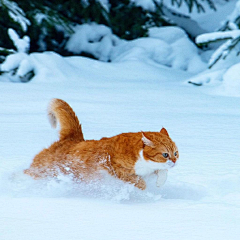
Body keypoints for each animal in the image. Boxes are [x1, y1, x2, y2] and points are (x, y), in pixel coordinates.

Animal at [24, 98, 178, 188]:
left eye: (176, 153)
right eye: (165, 154)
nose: (175, 161)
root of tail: (73, 138)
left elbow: (162, 172)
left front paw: (159, 181)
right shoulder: (114, 167)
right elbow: (138, 181)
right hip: (43, 170)